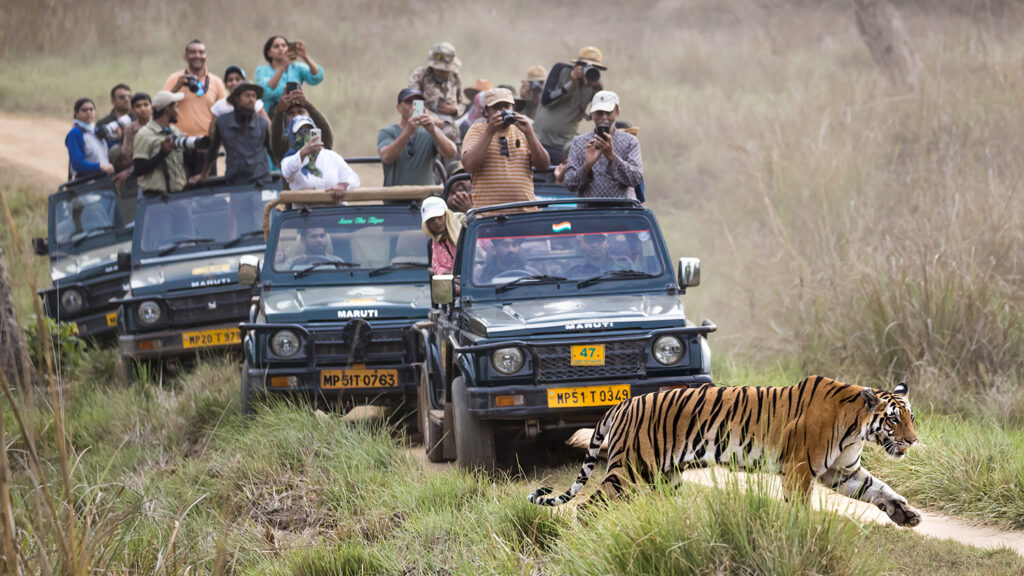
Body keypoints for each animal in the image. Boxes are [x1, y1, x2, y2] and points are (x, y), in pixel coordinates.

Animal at [528, 375, 921, 527]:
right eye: (893, 419)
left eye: (911, 417)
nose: (913, 440)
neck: (857, 428)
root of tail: (622, 404)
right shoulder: (800, 468)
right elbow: (799, 506)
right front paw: (800, 531)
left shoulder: (842, 471)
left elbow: (880, 490)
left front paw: (906, 515)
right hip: (628, 470)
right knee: (587, 507)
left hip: (663, 477)